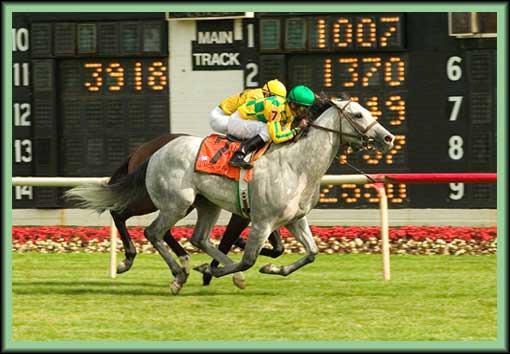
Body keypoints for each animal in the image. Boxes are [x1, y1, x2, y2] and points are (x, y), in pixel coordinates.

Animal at [107, 133, 284, 284]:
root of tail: (143, 148)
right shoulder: (244, 213)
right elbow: (227, 241)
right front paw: (213, 271)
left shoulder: (267, 212)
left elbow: (278, 249)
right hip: (155, 199)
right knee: (119, 213)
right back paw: (129, 259)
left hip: (179, 202)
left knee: (161, 229)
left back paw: (183, 261)